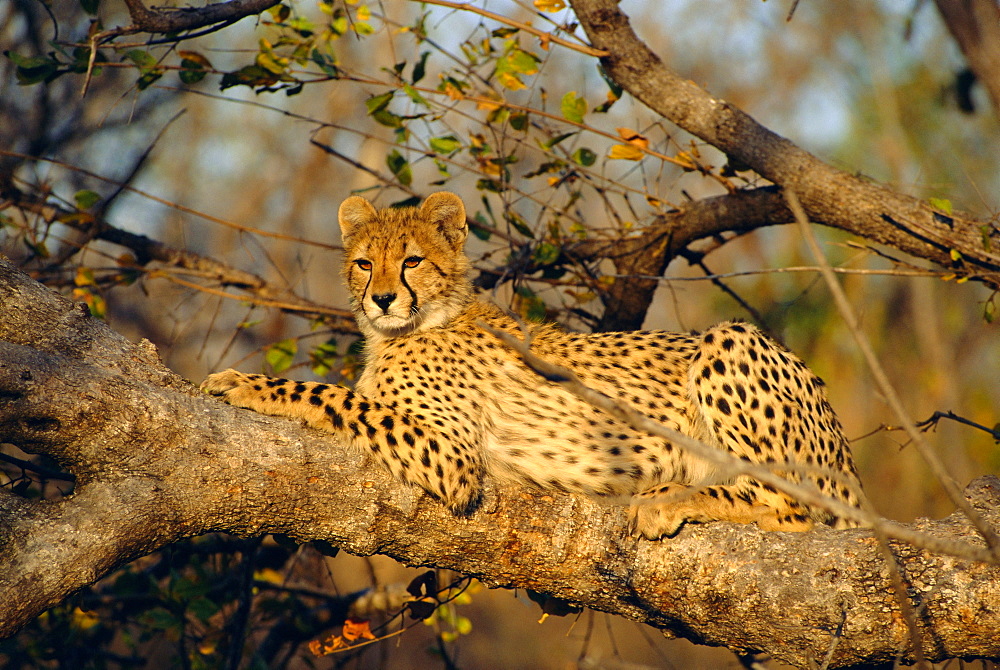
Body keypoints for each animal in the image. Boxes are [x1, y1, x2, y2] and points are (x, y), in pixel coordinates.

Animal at [199, 192, 864, 540]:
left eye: (412, 260)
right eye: (365, 262)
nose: (382, 298)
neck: (421, 323)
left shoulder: (453, 460)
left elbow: (330, 394)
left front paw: (243, 383)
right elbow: (345, 394)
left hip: (731, 339)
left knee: (795, 506)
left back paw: (670, 498)